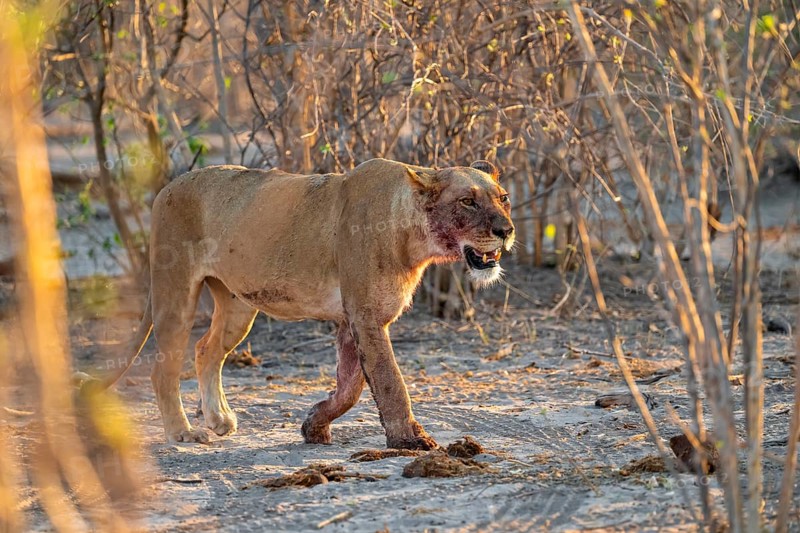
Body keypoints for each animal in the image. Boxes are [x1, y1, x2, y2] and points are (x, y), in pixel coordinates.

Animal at [101, 158, 514, 449]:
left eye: (503, 198)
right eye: (467, 201)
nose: (506, 230)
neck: (413, 235)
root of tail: (167, 187)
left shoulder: (351, 319)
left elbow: (351, 387)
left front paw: (314, 423)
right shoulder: (365, 316)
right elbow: (390, 382)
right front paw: (411, 440)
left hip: (237, 305)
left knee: (207, 350)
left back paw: (219, 419)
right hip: (175, 289)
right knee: (164, 367)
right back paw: (182, 432)